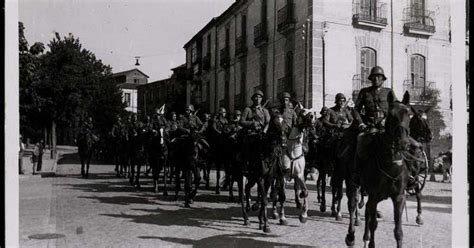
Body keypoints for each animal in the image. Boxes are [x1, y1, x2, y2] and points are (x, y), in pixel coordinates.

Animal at [344, 91, 414, 248]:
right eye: (391, 115)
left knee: (366, 211)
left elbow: (398, 230)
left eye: (409, 114)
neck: (391, 164)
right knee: (352, 205)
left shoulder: (399, 197)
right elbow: (373, 224)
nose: (403, 143)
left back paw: (365, 237)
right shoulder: (374, 196)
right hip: (352, 183)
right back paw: (351, 236)